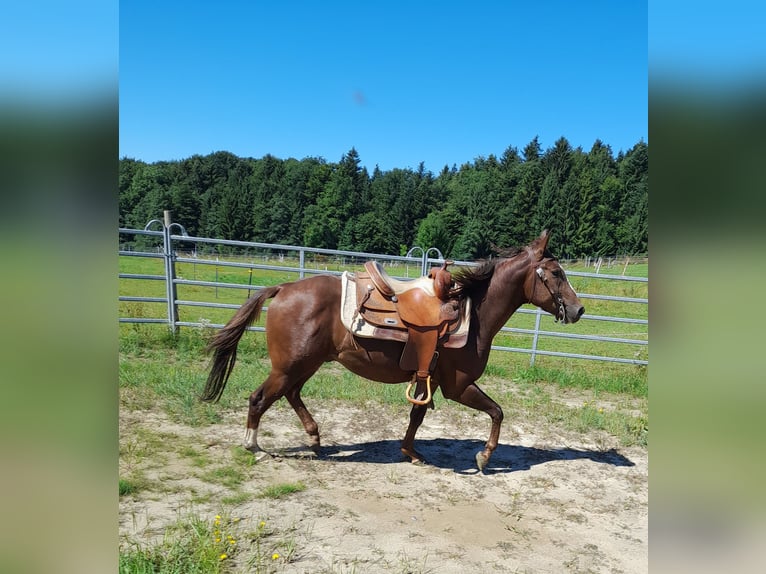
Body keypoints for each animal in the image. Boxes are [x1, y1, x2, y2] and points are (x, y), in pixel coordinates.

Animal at [201, 231, 584, 472]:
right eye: (555, 272)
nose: (578, 310)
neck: (473, 314)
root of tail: (282, 288)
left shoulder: (428, 379)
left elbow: (417, 416)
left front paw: (410, 453)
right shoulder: (458, 386)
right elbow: (497, 412)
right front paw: (484, 458)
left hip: (306, 364)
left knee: (291, 395)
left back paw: (314, 438)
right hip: (289, 366)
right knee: (260, 398)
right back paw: (255, 448)